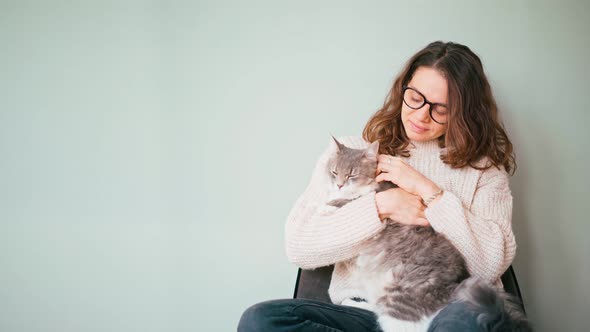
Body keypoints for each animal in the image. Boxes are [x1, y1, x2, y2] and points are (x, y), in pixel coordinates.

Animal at [322, 137, 536, 332]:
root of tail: (451, 291)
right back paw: (350, 302)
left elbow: (348, 202)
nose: (339, 184)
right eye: (334, 172)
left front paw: (329, 205)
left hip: (395, 303)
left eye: (352, 174)